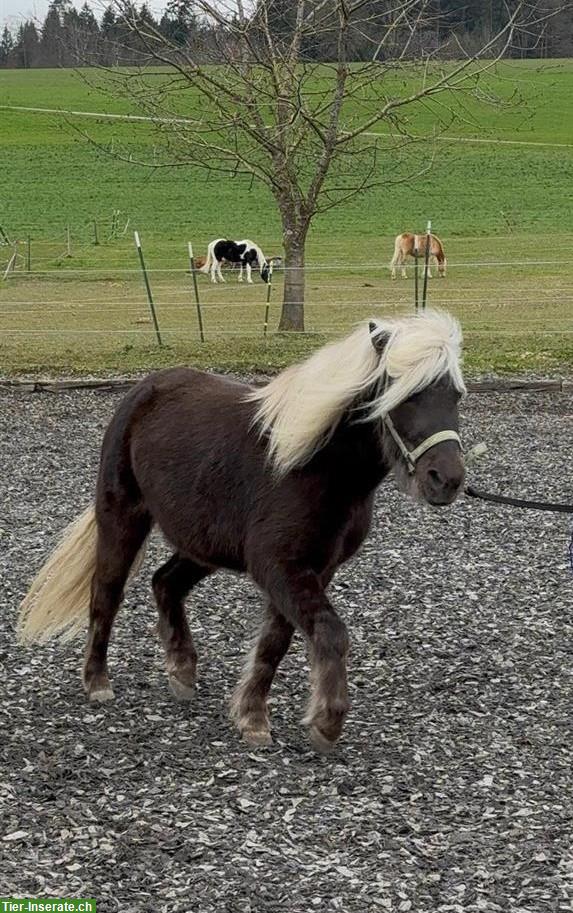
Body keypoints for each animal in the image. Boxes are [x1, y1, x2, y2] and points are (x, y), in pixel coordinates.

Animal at [18, 310, 466, 753]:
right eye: (405, 395)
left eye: (456, 395)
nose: (447, 479)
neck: (312, 465)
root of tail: (145, 388)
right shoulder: (280, 566)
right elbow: (329, 632)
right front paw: (325, 721)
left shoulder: (315, 568)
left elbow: (275, 642)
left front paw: (251, 715)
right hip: (122, 518)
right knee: (106, 594)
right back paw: (97, 683)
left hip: (203, 543)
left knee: (165, 582)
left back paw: (182, 671)